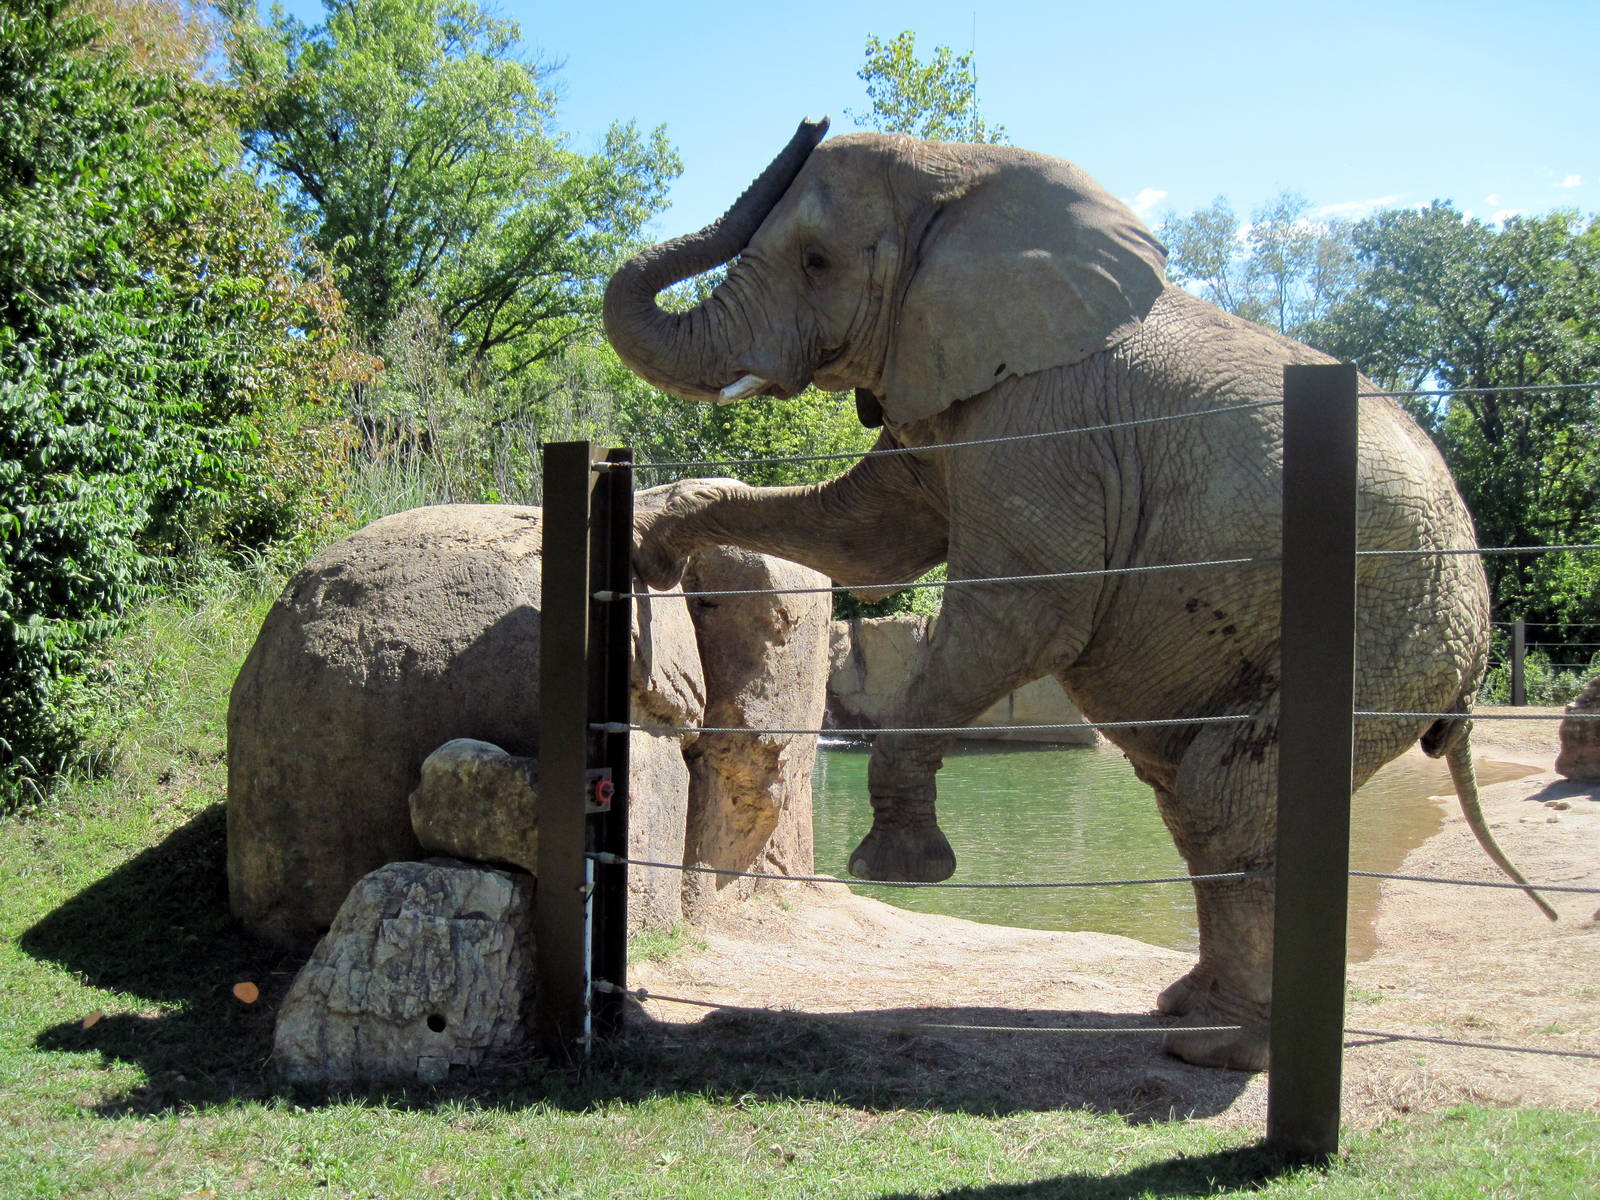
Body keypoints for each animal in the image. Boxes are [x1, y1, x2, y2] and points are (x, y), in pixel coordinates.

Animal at [602, 118, 1555, 1071]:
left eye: (815, 261)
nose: (810, 123)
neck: (964, 176)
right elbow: (868, 542)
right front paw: (650, 538)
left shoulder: (1043, 422)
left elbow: (1024, 608)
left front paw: (901, 870)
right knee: (1189, 796)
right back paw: (1183, 1011)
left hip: (1388, 630)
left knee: (1230, 793)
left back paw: (1219, 1047)